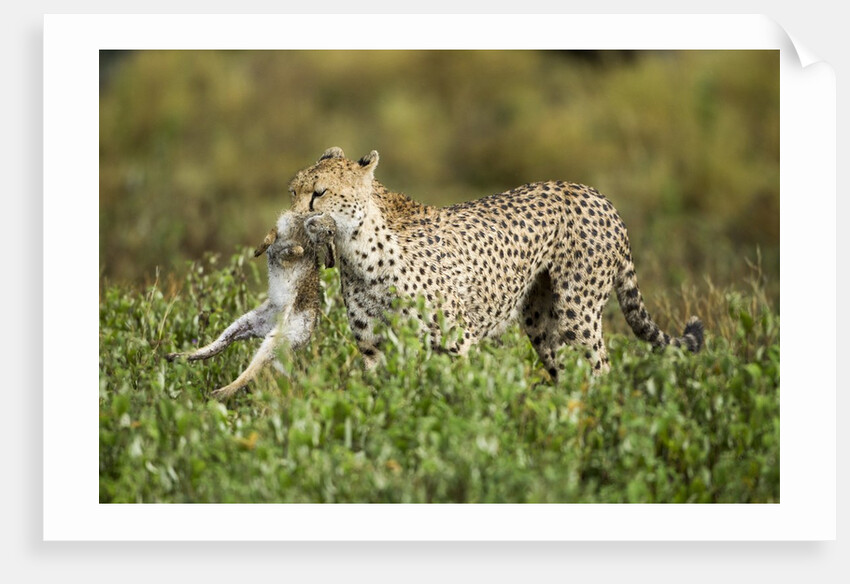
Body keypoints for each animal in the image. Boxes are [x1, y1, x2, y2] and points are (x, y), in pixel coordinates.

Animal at [288, 146, 703, 378]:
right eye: (293, 191)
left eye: (319, 193)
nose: (293, 219)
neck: (359, 248)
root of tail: (591, 191)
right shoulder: (374, 348)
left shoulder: (456, 341)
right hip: (542, 323)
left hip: (577, 315)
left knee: (601, 369)